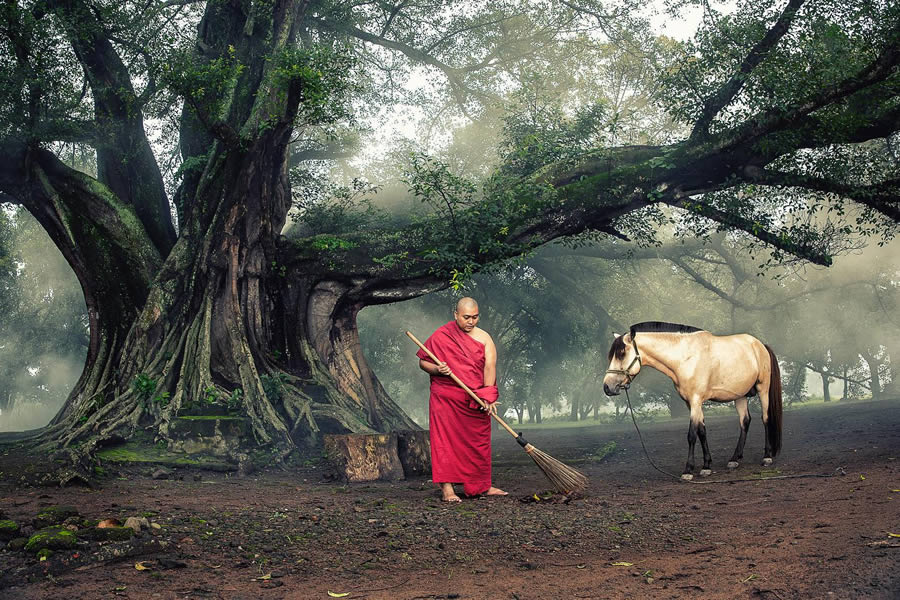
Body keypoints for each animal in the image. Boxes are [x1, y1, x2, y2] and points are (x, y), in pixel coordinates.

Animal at [604, 322, 780, 480]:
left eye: (621, 353)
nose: (607, 387)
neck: (686, 358)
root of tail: (760, 345)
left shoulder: (696, 401)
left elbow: (691, 435)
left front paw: (688, 470)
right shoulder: (691, 403)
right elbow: (702, 431)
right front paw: (706, 466)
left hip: (763, 389)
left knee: (765, 418)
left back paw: (767, 457)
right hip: (739, 395)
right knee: (745, 421)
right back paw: (734, 459)